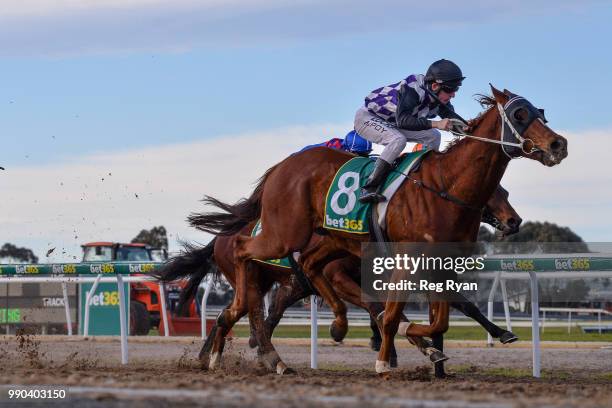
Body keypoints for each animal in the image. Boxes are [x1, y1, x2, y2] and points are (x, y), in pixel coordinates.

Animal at [208, 86, 568, 376]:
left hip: (329, 241)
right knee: (244, 253)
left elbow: (444, 316)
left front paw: (426, 343)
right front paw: (385, 360)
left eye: (540, 112)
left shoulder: (440, 264)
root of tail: (280, 167)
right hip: (286, 235)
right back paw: (240, 338)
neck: (445, 186)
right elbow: (392, 314)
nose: (558, 144)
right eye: (520, 114)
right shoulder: (405, 260)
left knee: (303, 270)